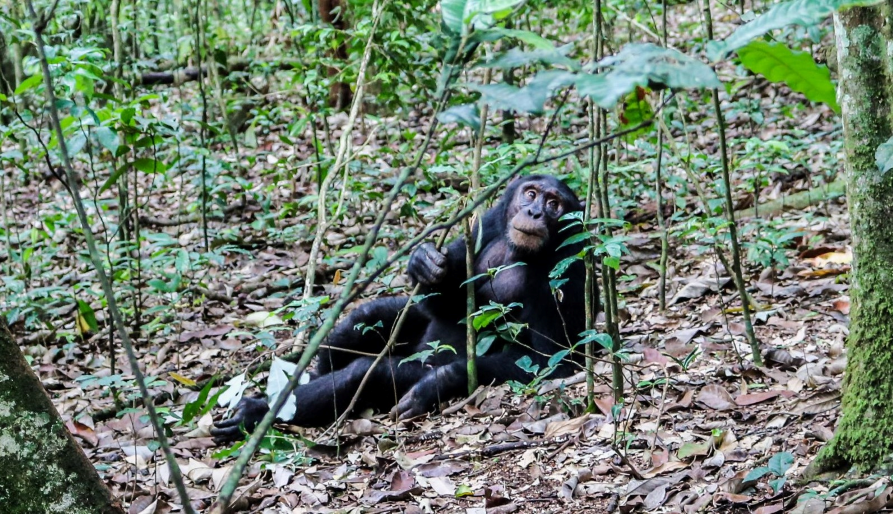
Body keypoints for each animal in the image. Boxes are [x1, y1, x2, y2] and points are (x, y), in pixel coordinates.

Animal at [211, 175, 592, 440]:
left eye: (554, 204)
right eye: (531, 193)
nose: (534, 211)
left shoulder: (568, 270)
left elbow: (548, 362)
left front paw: (439, 382)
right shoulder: (489, 222)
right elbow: (447, 303)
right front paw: (424, 261)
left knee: (366, 374)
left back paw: (254, 414)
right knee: (366, 317)